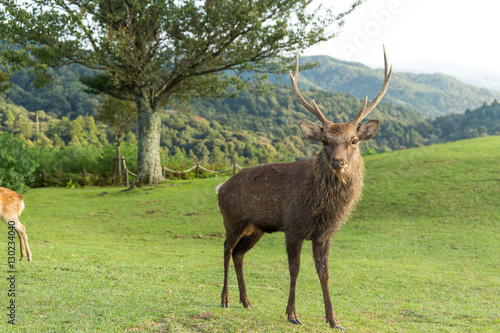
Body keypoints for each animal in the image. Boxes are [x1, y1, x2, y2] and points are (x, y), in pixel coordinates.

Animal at [217, 46, 392, 330]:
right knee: (226, 248)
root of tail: (220, 188)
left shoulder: (324, 234)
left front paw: (334, 320)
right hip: (233, 219)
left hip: (256, 228)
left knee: (239, 254)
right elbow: (294, 269)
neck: (318, 207)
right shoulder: (293, 227)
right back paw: (225, 299)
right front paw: (292, 314)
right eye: (325, 140)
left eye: (354, 140)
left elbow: (324, 273)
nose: (338, 162)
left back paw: (247, 301)